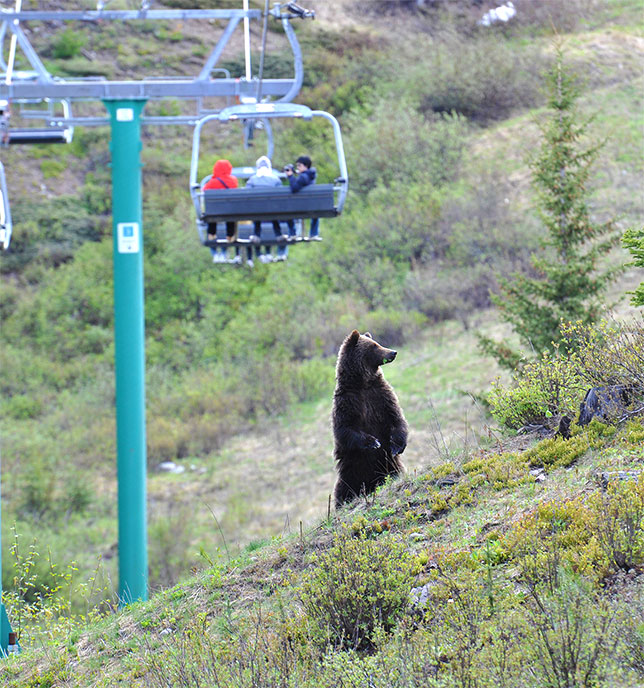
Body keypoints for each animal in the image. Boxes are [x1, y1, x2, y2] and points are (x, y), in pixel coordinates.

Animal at [332, 330, 409, 508]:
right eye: (374, 346)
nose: (393, 352)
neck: (363, 383)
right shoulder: (348, 402)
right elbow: (345, 428)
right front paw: (373, 442)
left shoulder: (380, 395)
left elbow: (396, 417)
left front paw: (397, 445)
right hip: (351, 472)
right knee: (343, 490)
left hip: (389, 465)